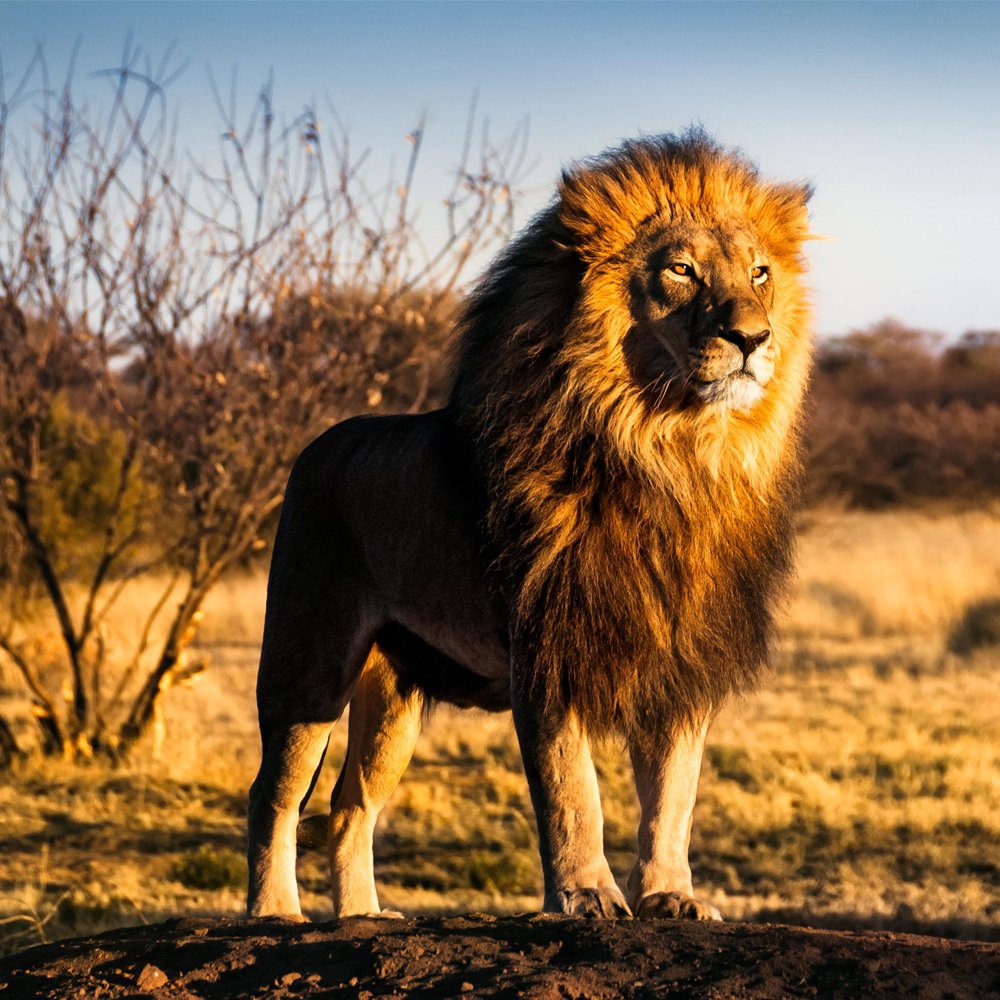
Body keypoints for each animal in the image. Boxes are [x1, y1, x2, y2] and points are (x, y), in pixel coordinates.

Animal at [247, 129, 814, 921]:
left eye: (760, 273)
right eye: (680, 270)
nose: (753, 337)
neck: (670, 453)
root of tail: (318, 444)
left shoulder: (681, 657)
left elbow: (673, 794)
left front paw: (670, 895)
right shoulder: (547, 646)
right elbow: (573, 790)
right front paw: (586, 896)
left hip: (394, 695)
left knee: (349, 803)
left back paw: (362, 915)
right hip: (309, 664)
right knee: (273, 793)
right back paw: (274, 911)